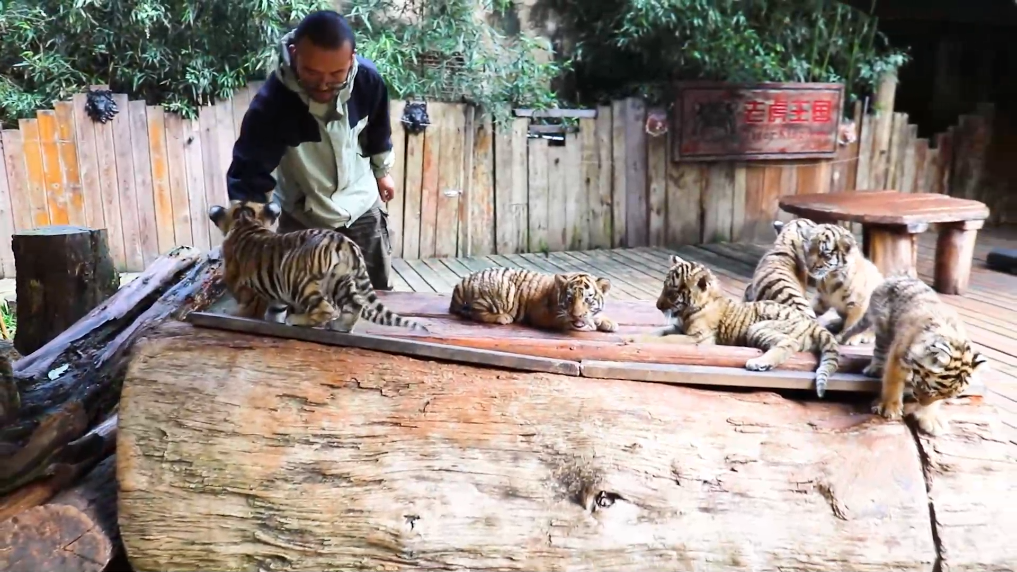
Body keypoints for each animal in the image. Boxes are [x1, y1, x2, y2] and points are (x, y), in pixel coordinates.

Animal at [208, 199, 428, 334]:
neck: (245, 219)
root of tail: (344, 241)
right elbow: (274, 307)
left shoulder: (239, 283)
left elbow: (245, 305)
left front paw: (236, 315)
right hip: (340, 280)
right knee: (354, 305)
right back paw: (339, 326)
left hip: (300, 283)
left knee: (325, 308)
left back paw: (297, 320)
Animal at [449, 267, 618, 333]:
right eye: (570, 299)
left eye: (587, 300)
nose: (576, 316)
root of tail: (459, 284)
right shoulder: (547, 317)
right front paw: (589, 325)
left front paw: (609, 322)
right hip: (505, 289)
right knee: (475, 311)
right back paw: (503, 317)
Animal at [630, 255, 840, 398]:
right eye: (664, 286)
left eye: (672, 292)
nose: (658, 306)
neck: (690, 308)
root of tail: (813, 324)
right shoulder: (680, 328)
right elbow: (658, 332)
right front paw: (633, 338)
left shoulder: (698, 337)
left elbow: (668, 339)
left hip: (759, 328)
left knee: (789, 344)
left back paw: (758, 363)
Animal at [838, 274, 988, 436]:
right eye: (926, 388)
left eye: (945, 396)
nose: (922, 402)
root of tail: (893, 278)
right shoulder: (898, 354)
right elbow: (893, 381)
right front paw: (890, 407)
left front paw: (930, 418)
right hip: (884, 326)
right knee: (880, 350)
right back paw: (876, 369)